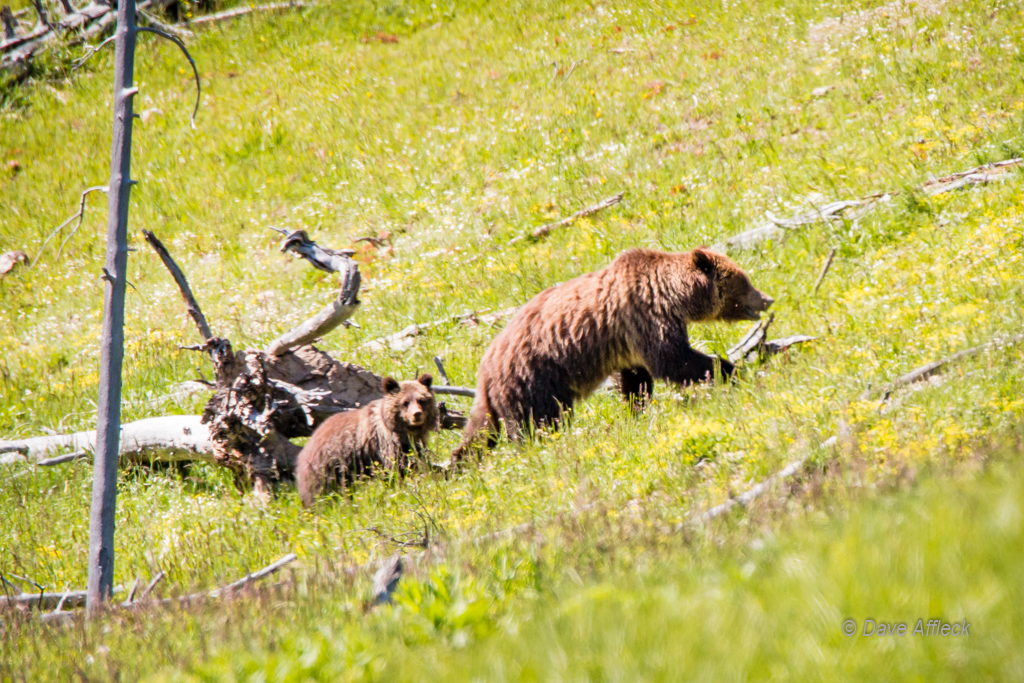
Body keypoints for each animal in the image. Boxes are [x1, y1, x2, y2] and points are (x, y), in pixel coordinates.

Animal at [299, 374, 438, 507]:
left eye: (422, 400)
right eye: (405, 402)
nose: (417, 414)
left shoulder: (415, 443)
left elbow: (417, 460)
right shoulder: (385, 443)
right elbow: (397, 467)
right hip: (328, 465)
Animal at [452, 248, 770, 456]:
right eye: (745, 281)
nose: (767, 298)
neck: (676, 296)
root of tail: (486, 368)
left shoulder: (630, 345)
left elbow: (637, 379)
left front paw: (635, 412)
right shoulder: (646, 313)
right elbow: (674, 360)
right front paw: (734, 370)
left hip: (497, 397)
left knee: (480, 432)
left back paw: (460, 462)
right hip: (533, 378)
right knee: (538, 422)